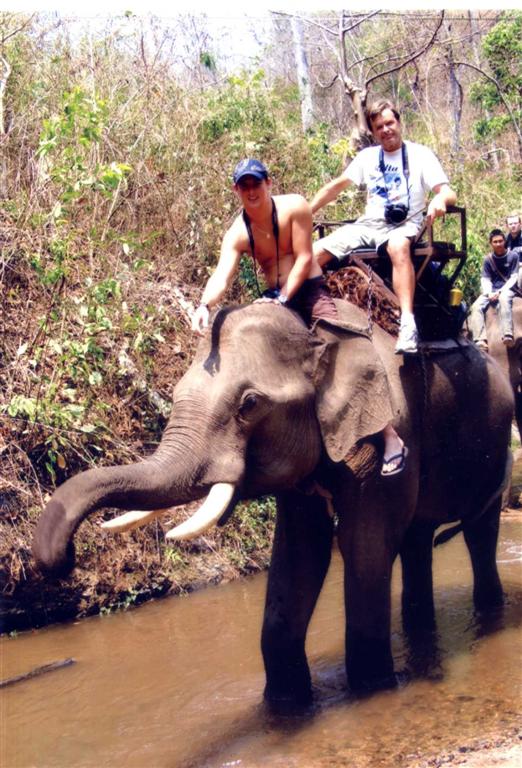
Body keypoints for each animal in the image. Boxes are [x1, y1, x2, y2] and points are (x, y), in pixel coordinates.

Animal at [33, 299, 514, 709]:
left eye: (249, 404)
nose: (64, 558)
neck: (315, 338)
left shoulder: (388, 433)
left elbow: (363, 545)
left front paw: (373, 689)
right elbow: (300, 551)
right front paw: (286, 707)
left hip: (497, 446)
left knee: (479, 530)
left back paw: (491, 614)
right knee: (417, 540)